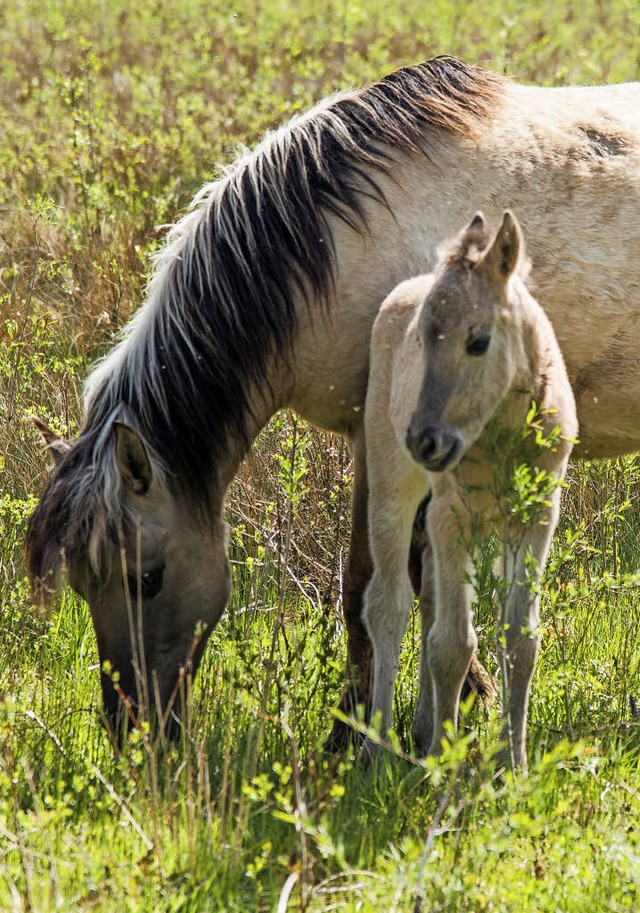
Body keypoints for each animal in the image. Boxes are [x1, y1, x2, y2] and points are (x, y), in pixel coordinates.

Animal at [362, 214, 576, 768]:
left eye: (478, 341)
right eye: (420, 339)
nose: (424, 440)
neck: (501, 435)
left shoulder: (536, 516)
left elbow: (518, 638)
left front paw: (513, 764)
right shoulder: (451, 515)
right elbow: (453, 644)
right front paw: (445, 763)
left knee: (428, 591)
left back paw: (422, 728)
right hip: (395, 486)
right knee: (389, 603)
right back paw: (377, 746)